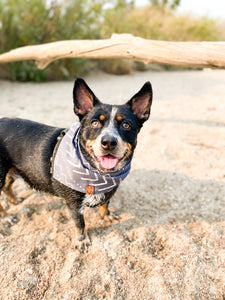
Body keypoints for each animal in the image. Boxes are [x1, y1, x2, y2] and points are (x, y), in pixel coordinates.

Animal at [0, 78, 153, 250]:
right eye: (95, 123)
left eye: (126, 125)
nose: (108, 142)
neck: (99, 175)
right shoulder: (74, 205)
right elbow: (80, 223)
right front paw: (81, 240)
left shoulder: (108, 191)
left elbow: (105, 204)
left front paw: (106, 216)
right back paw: (5, 217)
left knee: (7, 187)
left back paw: (14, 201)